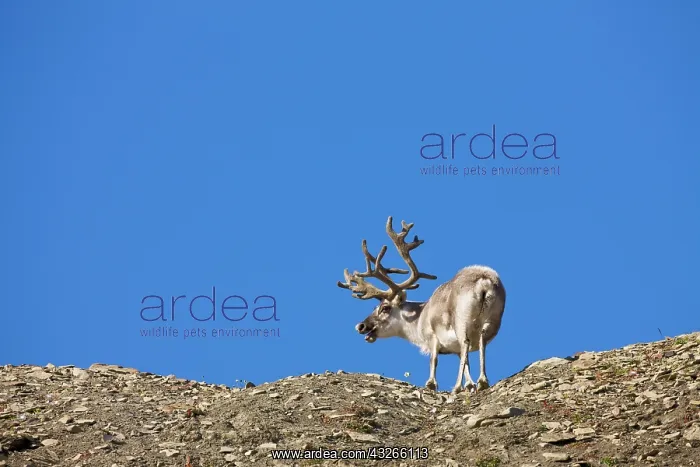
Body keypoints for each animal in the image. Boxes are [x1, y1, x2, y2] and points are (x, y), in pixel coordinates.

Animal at [337, 216, 506, 394]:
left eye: (384, 308)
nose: (360, 326)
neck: (418, 319)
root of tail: (484, 281)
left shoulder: (432, 335)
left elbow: (434, 359)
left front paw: (432, 383)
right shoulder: (453, 348)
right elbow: (464, 360)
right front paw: (470, 384)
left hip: (461, 319)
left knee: (466, 342)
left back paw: (457, 386)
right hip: (492, 319)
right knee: (482, 340)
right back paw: (482, 381)